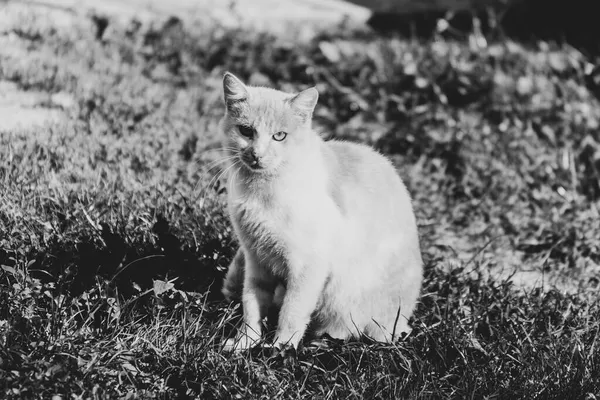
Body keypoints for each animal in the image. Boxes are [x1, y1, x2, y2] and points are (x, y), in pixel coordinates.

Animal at [219, 72, 422, 350]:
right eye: (246, 131)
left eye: (279, 136)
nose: (257, 155)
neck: (261, 190)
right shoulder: (255, 260)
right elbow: (251, 306)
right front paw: (245, 343)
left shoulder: (307, 267)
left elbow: (291, 312)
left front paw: (279, 349)